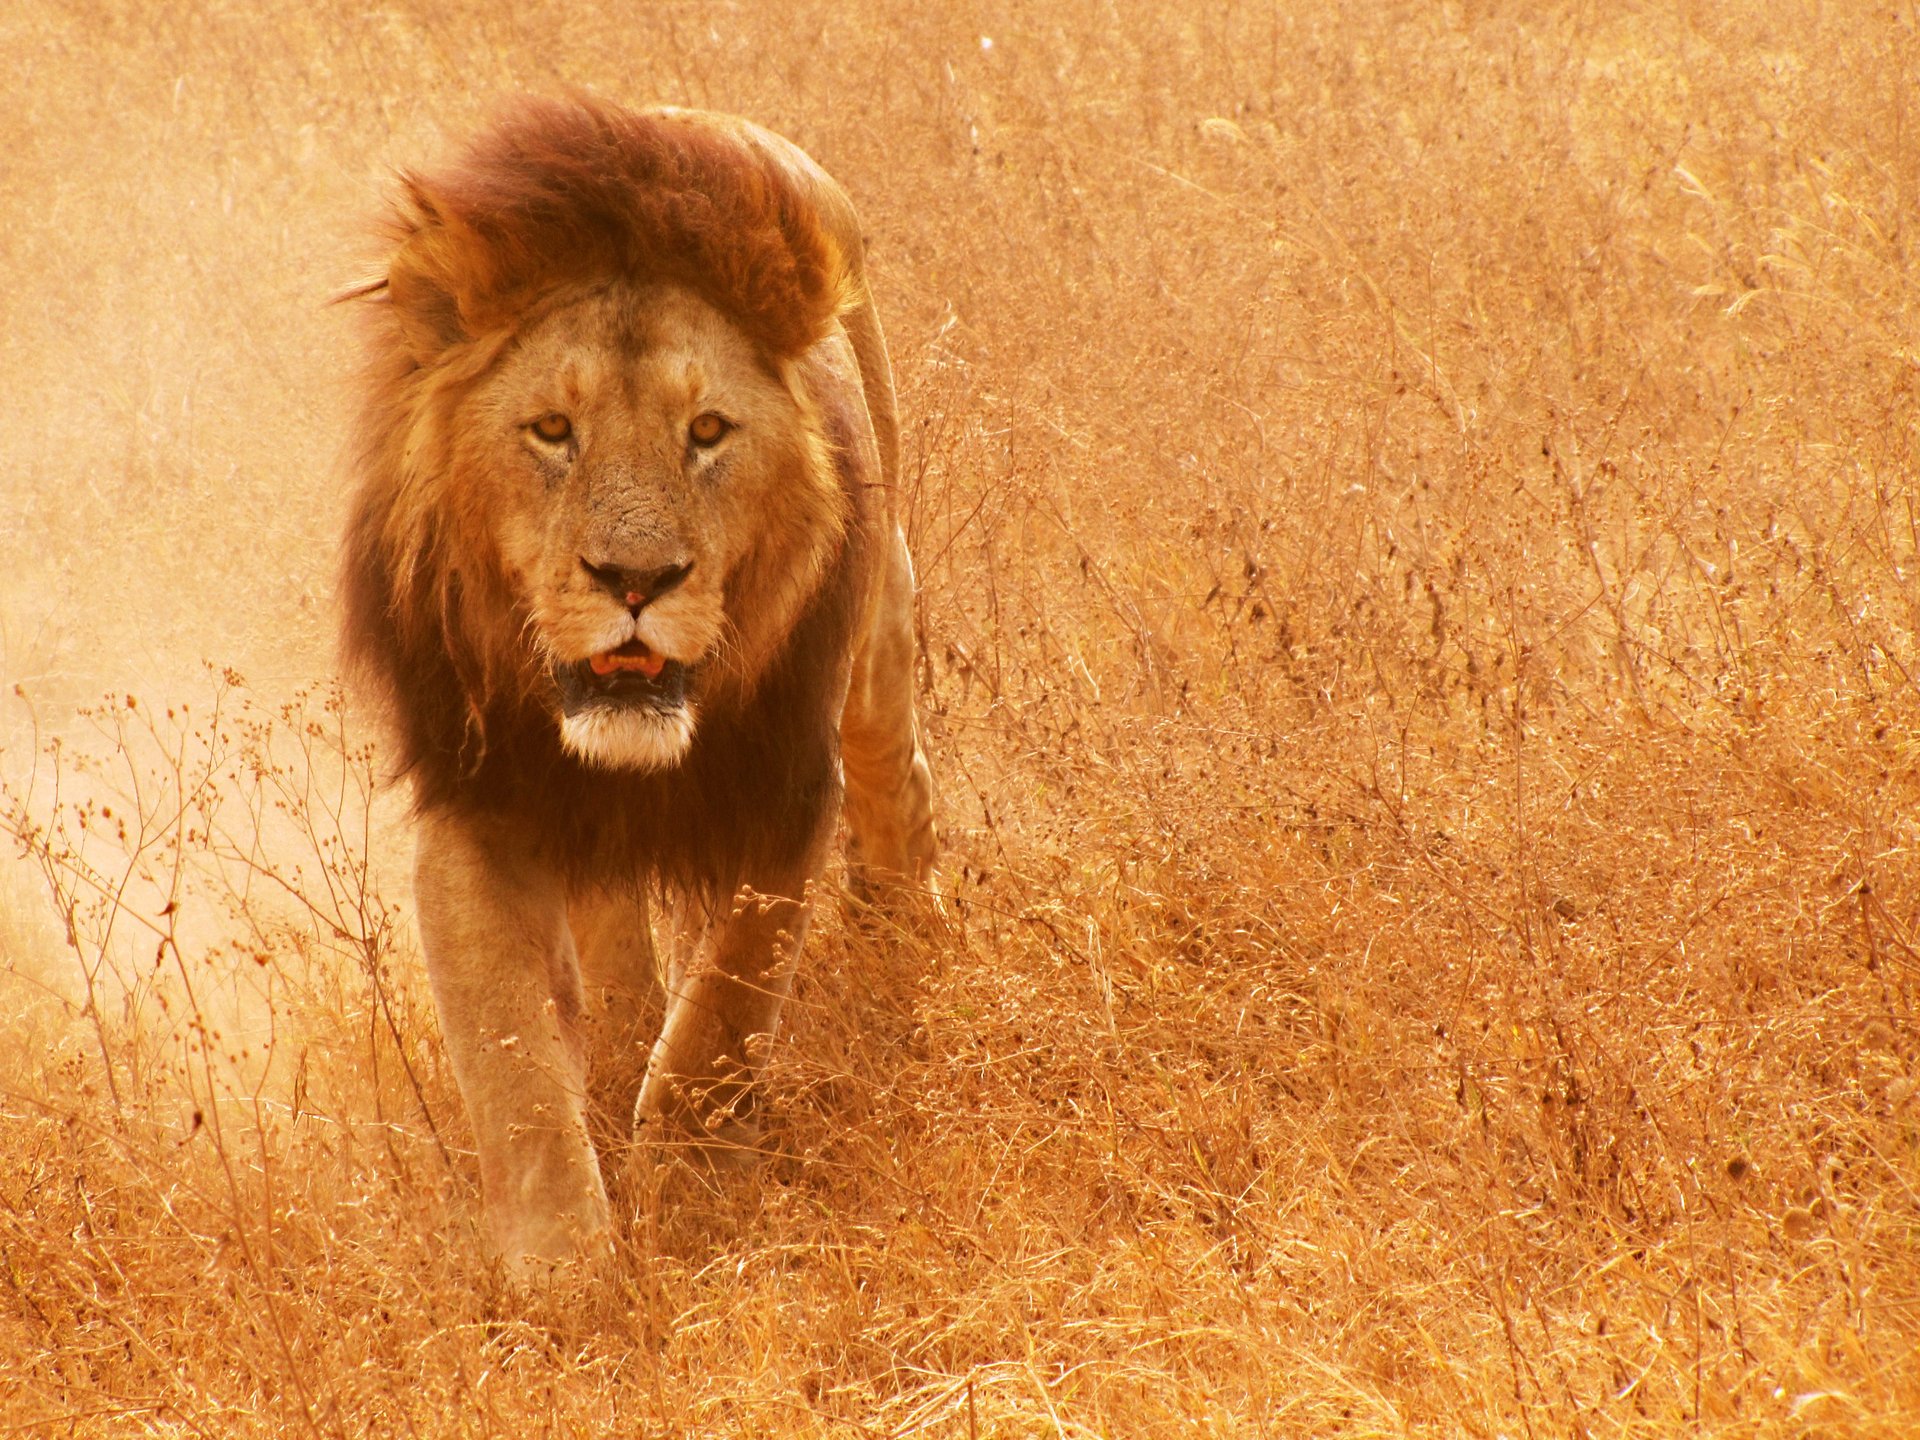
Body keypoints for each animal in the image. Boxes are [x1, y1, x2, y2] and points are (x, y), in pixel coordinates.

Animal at [339, 98, 938, 1275]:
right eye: (551, 431)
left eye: (706, 432)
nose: (634, 579)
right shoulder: (477, 805)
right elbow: (513, 1065)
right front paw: (566, 1278)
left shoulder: (787, 791)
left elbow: (720, 1018)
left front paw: (698, 1202)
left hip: (880, 622)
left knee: (897, 768)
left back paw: (912, 943)